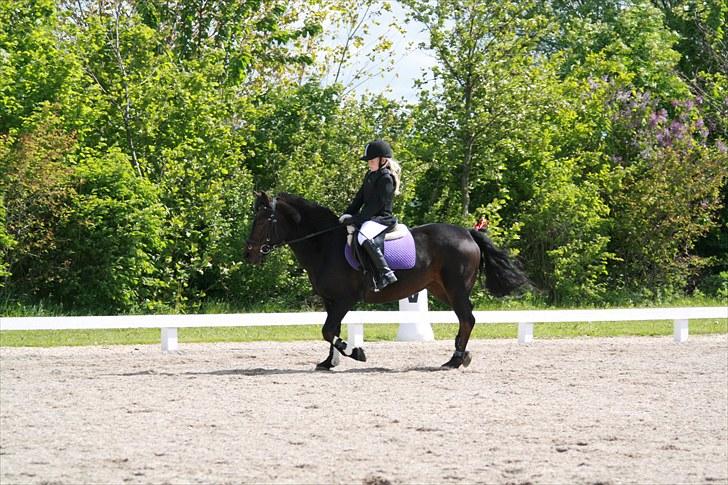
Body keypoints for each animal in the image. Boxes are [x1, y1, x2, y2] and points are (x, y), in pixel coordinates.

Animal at [245, 191, 528, 368]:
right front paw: (329, 363)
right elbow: (331, 330)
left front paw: (356, 352)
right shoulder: (330, 300)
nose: (248, 255)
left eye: (263, 220)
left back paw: (455, 360)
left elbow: (328, 330)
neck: (324, 244)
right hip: (442, 289)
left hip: (455, 288)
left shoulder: (345, 299)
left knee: (467, 318)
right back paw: (459, 356)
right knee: (465, 318)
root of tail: (468, 234)